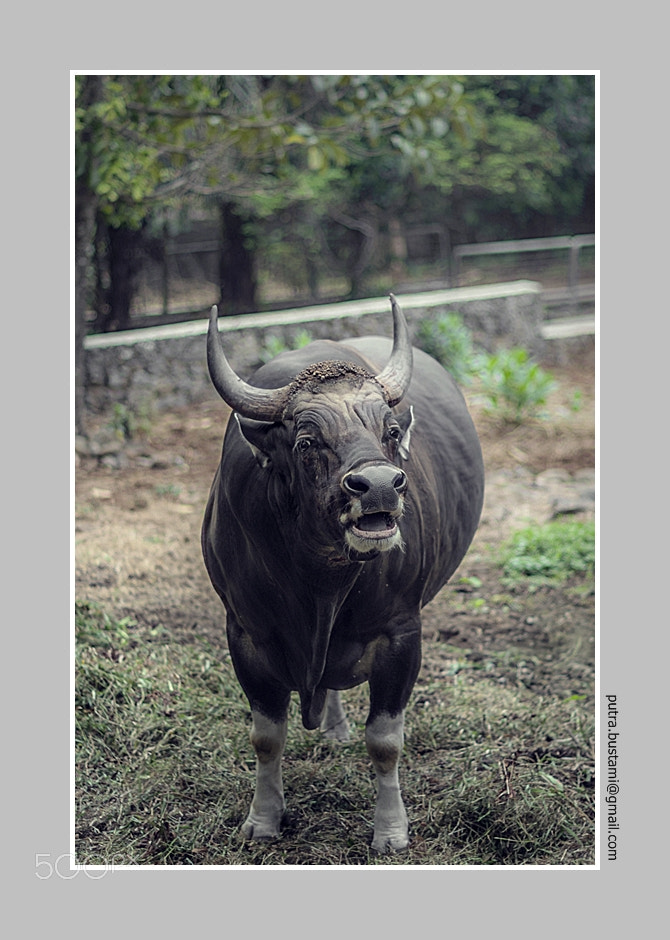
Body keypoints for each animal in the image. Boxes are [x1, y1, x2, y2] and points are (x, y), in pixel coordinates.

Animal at [202, 296, 486, 852]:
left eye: (390, 432)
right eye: (307, 440)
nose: (378, 487)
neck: (319, 586)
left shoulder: (402, 633)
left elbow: (385, 741)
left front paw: (391, 830)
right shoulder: (243, 632)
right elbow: (265, 737)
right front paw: (263, 819)